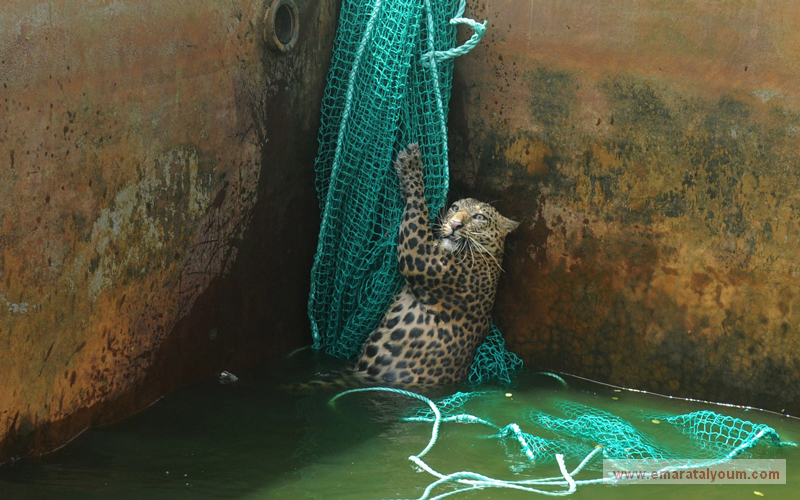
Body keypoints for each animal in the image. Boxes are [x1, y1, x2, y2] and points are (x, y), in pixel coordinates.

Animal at [354, 143, 520, 384]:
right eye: (455, 207)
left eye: (479, 217)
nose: (455, 224)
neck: (486, 257)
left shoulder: (421, 254)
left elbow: (418, 210)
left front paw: (411, 166)